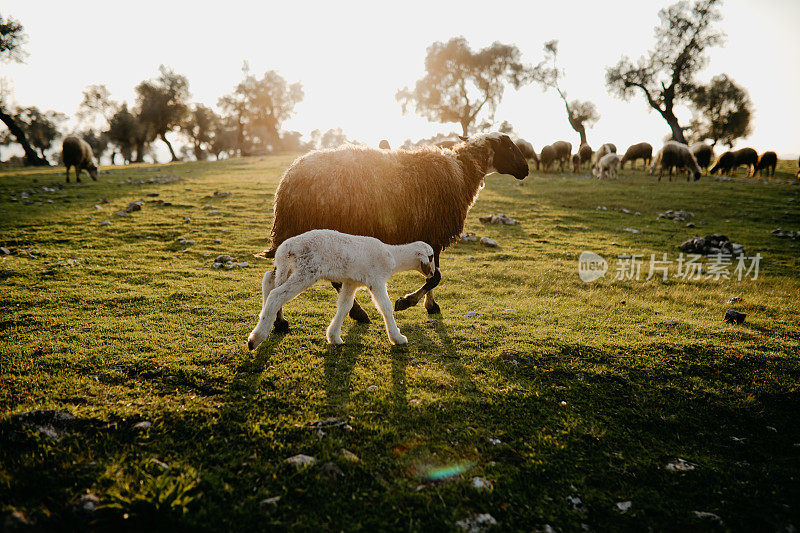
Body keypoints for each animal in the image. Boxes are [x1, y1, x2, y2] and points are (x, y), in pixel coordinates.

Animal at [250, 229, 438, 350]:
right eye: (431, 256)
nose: (433, 273)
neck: (393, 255)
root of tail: (286, 247)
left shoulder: (351, 282)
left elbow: (345, 306)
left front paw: (334, 337)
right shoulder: (376, 280)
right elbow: (385, 307)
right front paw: (397, 338)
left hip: (288, 268)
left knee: (268, 280)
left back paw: (268, 321)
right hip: (306, 271)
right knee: (276, 295)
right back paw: (256, 338)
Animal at [260, 131, 528, 330]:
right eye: (510, 146)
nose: (525, 170)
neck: (462, 172)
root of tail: (287, 183)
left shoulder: (431, 236)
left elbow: (433, 275)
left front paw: (430, 305)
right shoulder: (434, 233)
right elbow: (435, 277)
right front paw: (406, 302)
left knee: (277, 276)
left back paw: (283, 321)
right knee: (297, 279)